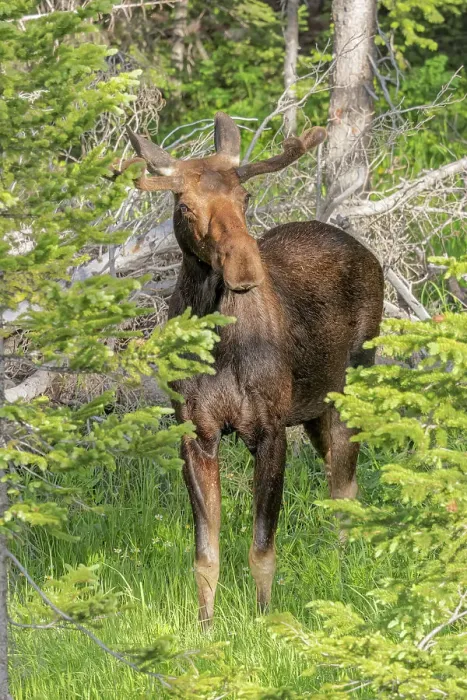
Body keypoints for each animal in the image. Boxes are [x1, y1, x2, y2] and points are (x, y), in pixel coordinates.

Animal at [118, 112, 384, 628]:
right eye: (185, 206)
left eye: (245, 197)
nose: (244, 267)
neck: (219, 347)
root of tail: (367, 253)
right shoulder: (196, 432)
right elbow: (205, 553)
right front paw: (205, 627)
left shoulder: (269, 429)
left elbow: (263, 547)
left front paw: (264, 619)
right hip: (315, 409)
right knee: (343, 486)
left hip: (351, 389)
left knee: (345, 490)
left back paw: (345, 575)